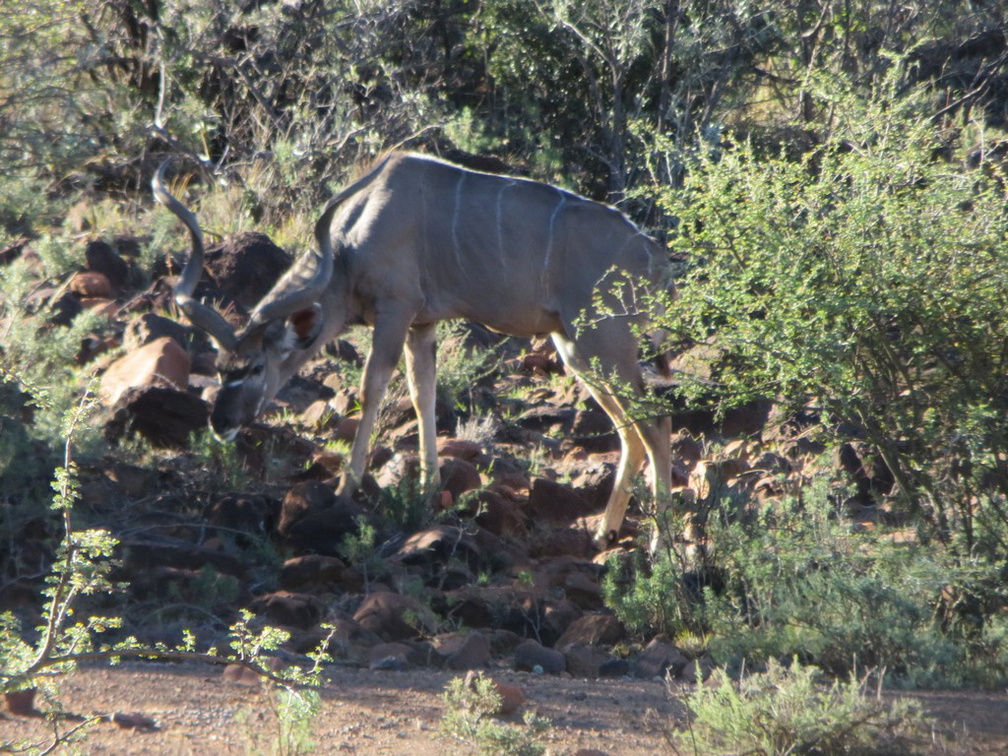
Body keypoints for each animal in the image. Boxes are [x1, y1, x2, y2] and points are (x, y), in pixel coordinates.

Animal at [155, 152, 677, 544]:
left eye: (256, 368)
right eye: (221, 367)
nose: (221, 423)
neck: (350, 242)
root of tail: (655, 261)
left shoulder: (395, 311)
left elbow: (372, 389)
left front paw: (345, 489)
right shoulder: (422, 324)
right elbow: (423, 393)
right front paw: (428, 491)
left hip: (602, 345)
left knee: (657, 423)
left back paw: (660, 548)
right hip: (575, 348)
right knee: (632, 429)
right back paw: (604, 533)